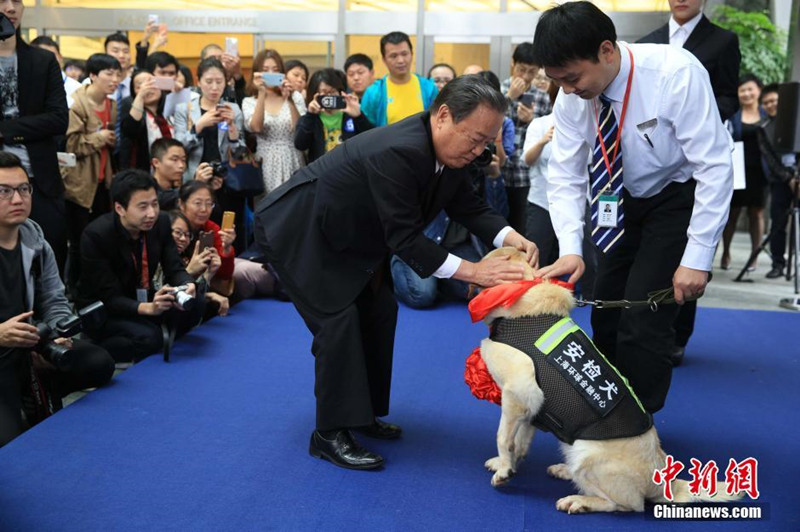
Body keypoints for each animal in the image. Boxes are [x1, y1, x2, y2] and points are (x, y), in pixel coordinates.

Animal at [468, 247, 744, 512]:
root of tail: (667, 482)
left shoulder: (517, 395)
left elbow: (503, 438)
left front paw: (505, 470)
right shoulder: (533, 408)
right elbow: (520, 441)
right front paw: (509, 464)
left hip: (586, 453)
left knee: (627, 505)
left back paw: (579, 501)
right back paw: (565, 471)